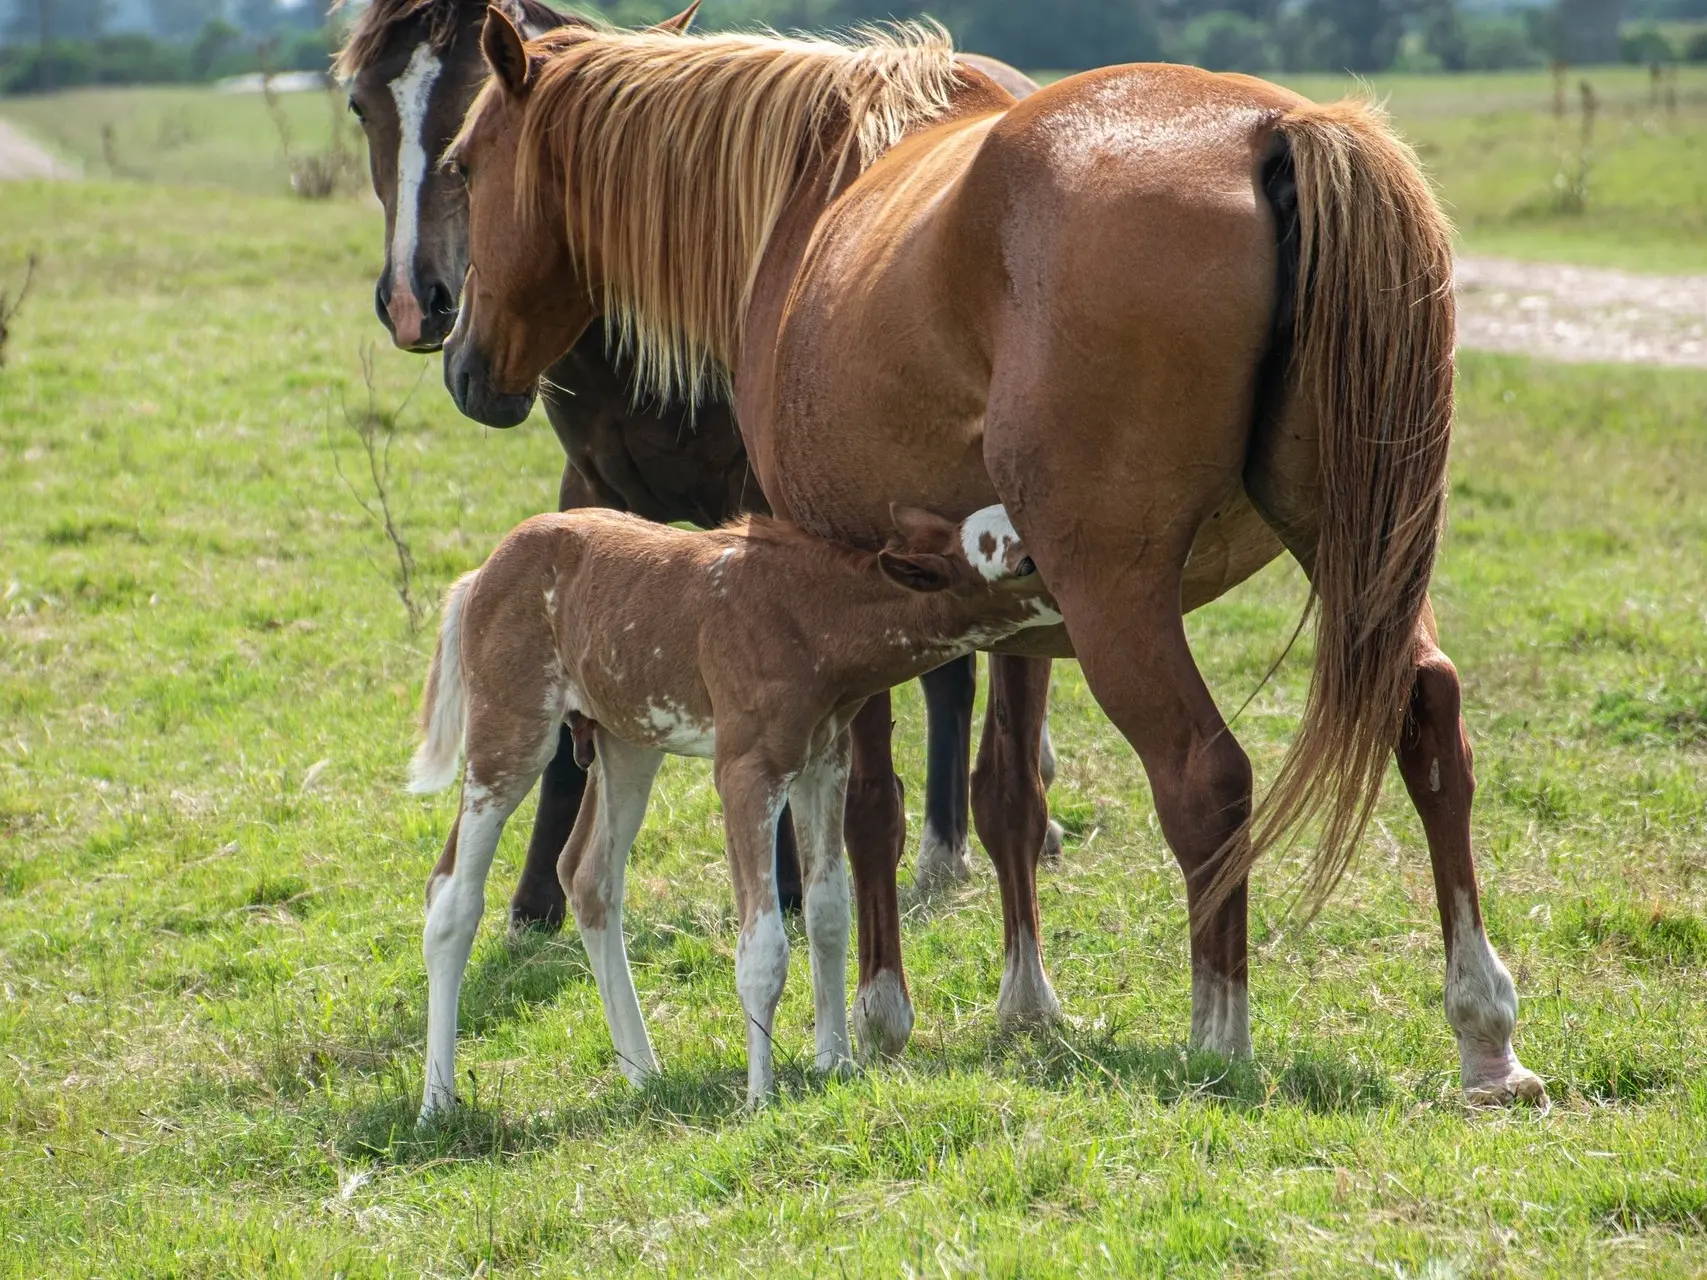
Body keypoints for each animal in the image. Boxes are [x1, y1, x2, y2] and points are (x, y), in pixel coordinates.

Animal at [336, 0, 1051, 921]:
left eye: (462, 147)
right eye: (362, 105)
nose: (418, 309)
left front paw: (787, 881)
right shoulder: (594, 495)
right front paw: (535, 898)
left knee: (958, 680)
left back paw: (951, 840)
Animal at [409, 505, 1051, 1119]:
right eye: (1023, 563)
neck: (810, 616)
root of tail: (479, 574)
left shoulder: (824, 762)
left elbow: (828, 913)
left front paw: (836, 1064)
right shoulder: (747, 771)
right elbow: (763, 947)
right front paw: (760, 1098)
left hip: (628, 740)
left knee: (589, 876)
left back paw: (644, 1074)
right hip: (511, 731)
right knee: (453, 895)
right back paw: (436, 1105)